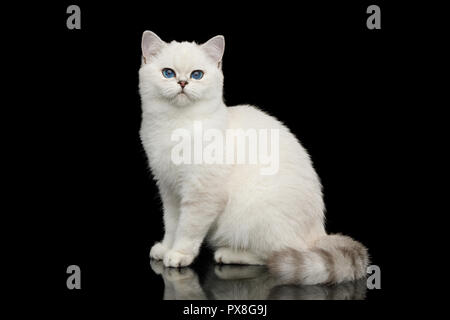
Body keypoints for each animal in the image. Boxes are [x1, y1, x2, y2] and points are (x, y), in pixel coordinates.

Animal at [139, 30, 368, 284]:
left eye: (197, 74)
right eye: (168, 73)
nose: (182, 82)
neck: (176, 125)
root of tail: (319, 234)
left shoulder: (202, 193)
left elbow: (188, 228)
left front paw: (179, 254)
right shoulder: (169, 190)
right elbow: (171, 224)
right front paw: (165, 249)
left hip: (254, 216)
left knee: (274, 255)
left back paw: (228, 254)